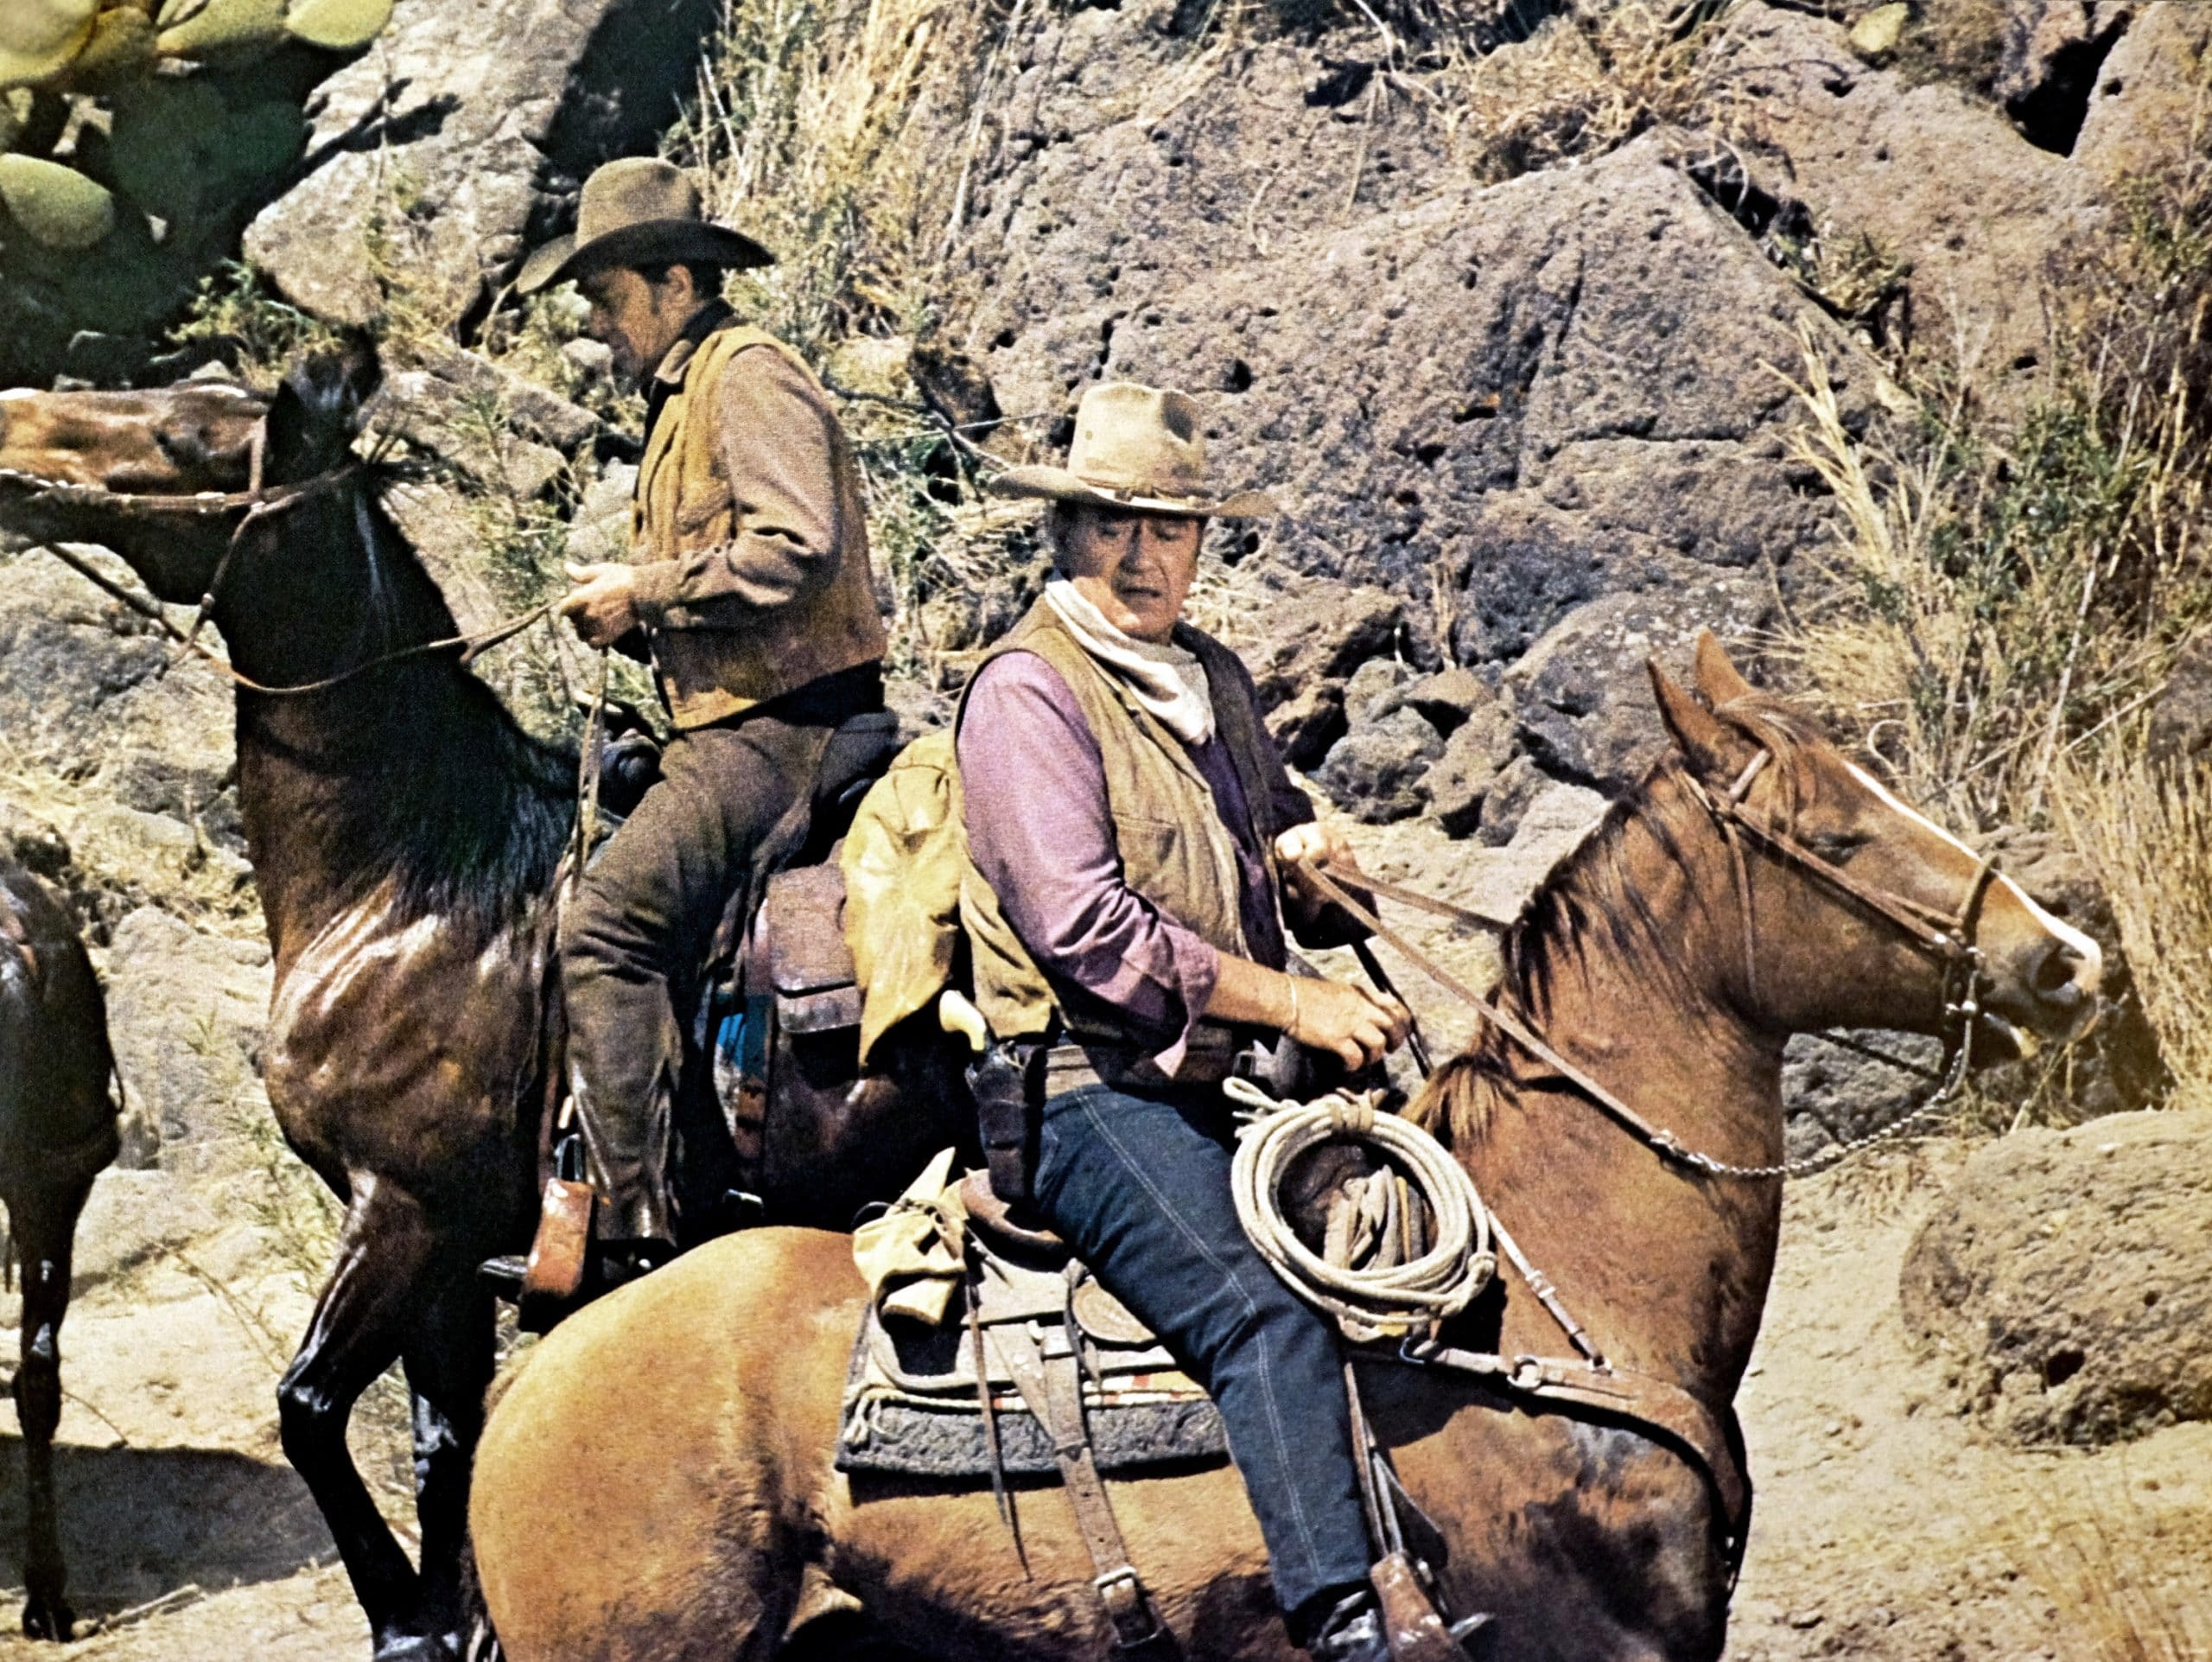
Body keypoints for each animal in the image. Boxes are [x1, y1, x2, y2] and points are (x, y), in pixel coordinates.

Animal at [2, 353, 969, 1662]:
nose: (11, 423)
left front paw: (405, 1619)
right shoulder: (453, 1254)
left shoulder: (404, 1209)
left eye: (189, 439)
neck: (413, 883)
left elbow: (308, 1407)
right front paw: (447, 1618)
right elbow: (439, 1449)